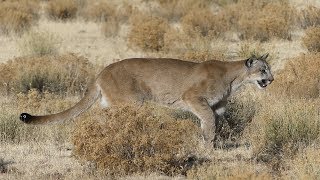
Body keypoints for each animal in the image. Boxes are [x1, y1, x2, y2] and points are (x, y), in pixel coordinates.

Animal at [19, 53, 272, 143]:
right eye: (262, 70)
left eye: (269, 69)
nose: (271, 79)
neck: (234, 77)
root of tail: (101, 71)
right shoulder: (193, 97)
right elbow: (208, 120)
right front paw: (208, 144)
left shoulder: (218, 106)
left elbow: (213, 121)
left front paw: (211, 143)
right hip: (131, 102)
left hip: (113, 104)